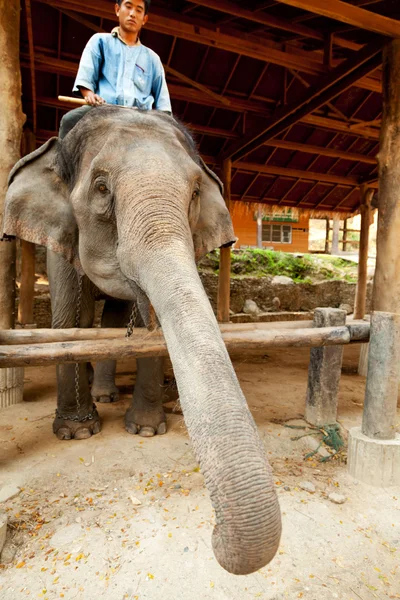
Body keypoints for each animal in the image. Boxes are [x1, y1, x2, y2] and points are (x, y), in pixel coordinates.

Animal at [4, 105, 282, 576]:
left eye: (194, 192)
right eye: (101, 188)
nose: (213, 534)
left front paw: (148, 430)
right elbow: (68, 316)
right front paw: (77, 433)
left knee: (115, 318)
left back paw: (112, 393)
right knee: (90, 320)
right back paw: (99, 400)